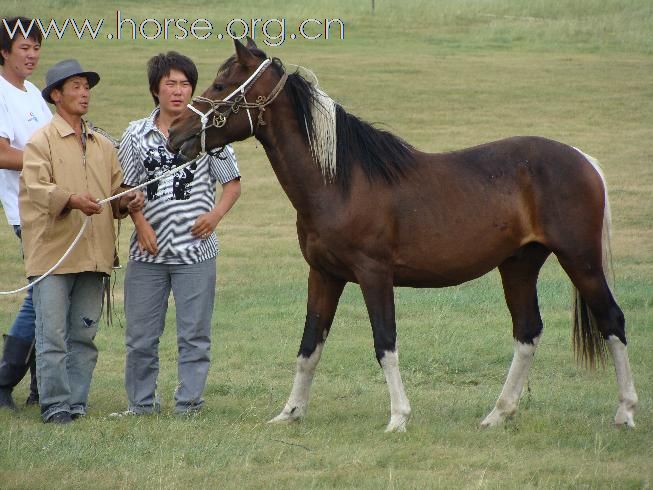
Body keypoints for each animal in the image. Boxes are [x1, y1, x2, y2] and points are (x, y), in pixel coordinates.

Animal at [167, 39, 636, 432]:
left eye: (222, 83)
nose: (175, 134)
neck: (340, 181)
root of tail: (583, 160)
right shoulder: (324, 275)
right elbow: (309, 345)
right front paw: (290, 412)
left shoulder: (374, 275)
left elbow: (385, 342)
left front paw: (398, 418)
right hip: (519, 265)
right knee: (528, 333)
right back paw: (497, 415)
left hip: (581, 261)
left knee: (612, 321)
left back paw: (625, 412)